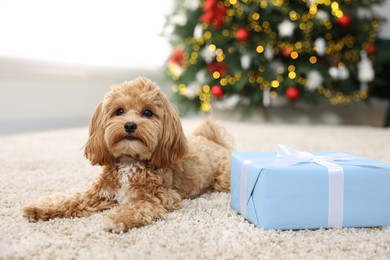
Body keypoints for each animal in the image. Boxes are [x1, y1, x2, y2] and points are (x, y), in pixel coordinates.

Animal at [22, 76, 235, 233]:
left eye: (148, 112)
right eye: (119, 111)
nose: (130, 125)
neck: (129, 161)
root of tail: (214, 142)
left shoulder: (162, 197)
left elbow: (137, 206)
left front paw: (118, 218)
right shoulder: (99, 193)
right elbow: (71, 199)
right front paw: (40, 207)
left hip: (222, 180)